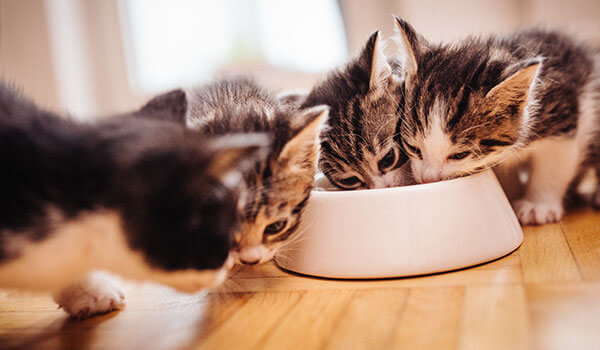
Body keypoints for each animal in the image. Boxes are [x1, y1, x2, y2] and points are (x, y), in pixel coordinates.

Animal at [394, 17, 600, 224]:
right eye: (413, 148)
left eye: (460, 155)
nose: (428, 179)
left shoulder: (562, 117)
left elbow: (553, 165)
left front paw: (538, 206)